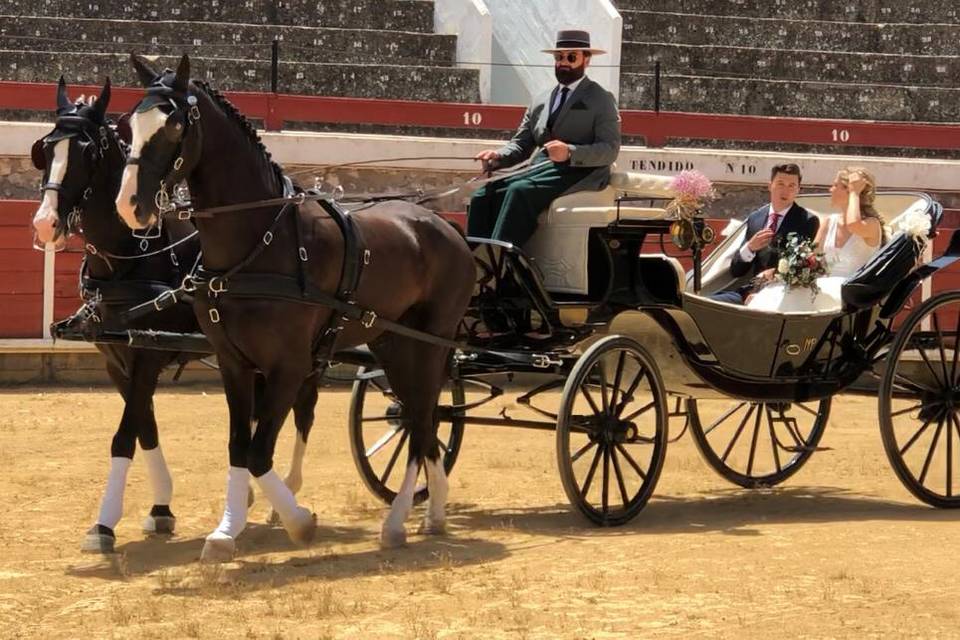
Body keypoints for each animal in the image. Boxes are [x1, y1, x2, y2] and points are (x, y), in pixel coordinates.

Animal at [30, 77, 320, 552]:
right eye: (45, 149)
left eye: (87, 153)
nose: (44, 223)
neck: (132, 257)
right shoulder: (117, 361)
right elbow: (144, 428)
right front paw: (161, 507)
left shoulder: (147, 357)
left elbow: (124, 436)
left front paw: (104, 523)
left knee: (304, 410)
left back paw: (287, 497)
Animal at [114, 56, 474, 560]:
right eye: (129, 125)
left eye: (174, 126)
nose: (131, 205)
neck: (261, 241)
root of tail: (445, 226)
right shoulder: (234, 364)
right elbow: (239, 445)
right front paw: (227, 530)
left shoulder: (288, 366)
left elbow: (259, 450)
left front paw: (298, 522)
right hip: (394, 345)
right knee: (423, 423)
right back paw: (435, 512)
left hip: (425, 346)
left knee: (422, 420)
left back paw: (397, 521)